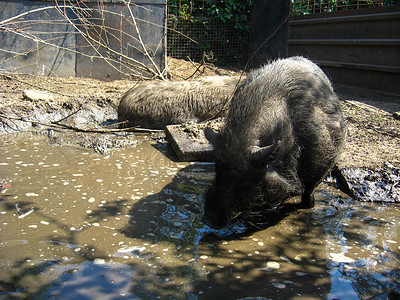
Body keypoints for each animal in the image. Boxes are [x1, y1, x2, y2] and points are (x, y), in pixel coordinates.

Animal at [203, 57, 346, 229]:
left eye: (245, 181)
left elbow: (309, 190)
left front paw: (308, 206)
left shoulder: (323, 159)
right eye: (217, 170)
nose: (208, 220)